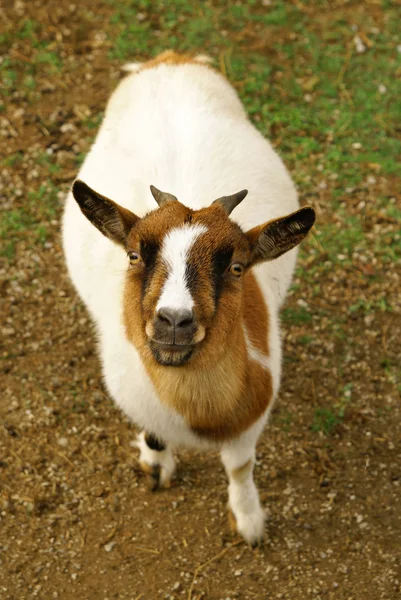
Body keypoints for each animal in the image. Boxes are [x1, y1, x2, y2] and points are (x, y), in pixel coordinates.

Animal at [62, 51, 314, 544]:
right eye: (134, 254)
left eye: (237, 267)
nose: (174, 321)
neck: (200, 417)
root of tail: (170, 58)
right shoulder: (140, 402)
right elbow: (154, 435)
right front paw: (156, 467)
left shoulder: (250, 419)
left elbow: (240, 466)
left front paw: (249, 521)